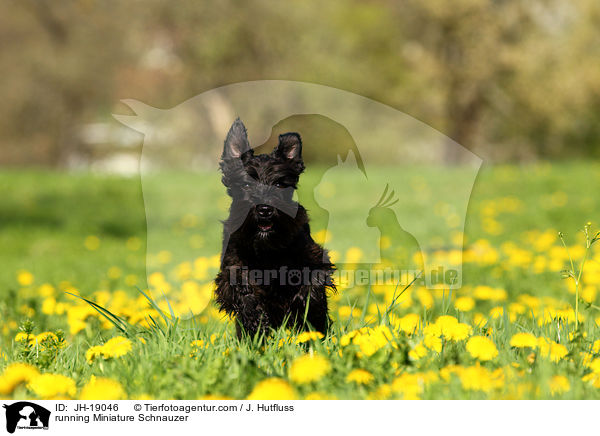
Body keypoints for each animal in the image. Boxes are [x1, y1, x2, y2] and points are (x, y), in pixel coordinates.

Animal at [216, 117, 336, 338]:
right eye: (246, 185)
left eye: (280, 184)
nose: (264, 209)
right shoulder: (232, 265)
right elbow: (241, 287)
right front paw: (255, 320)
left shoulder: (314, 258)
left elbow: (312, 284)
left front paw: (305, 310)